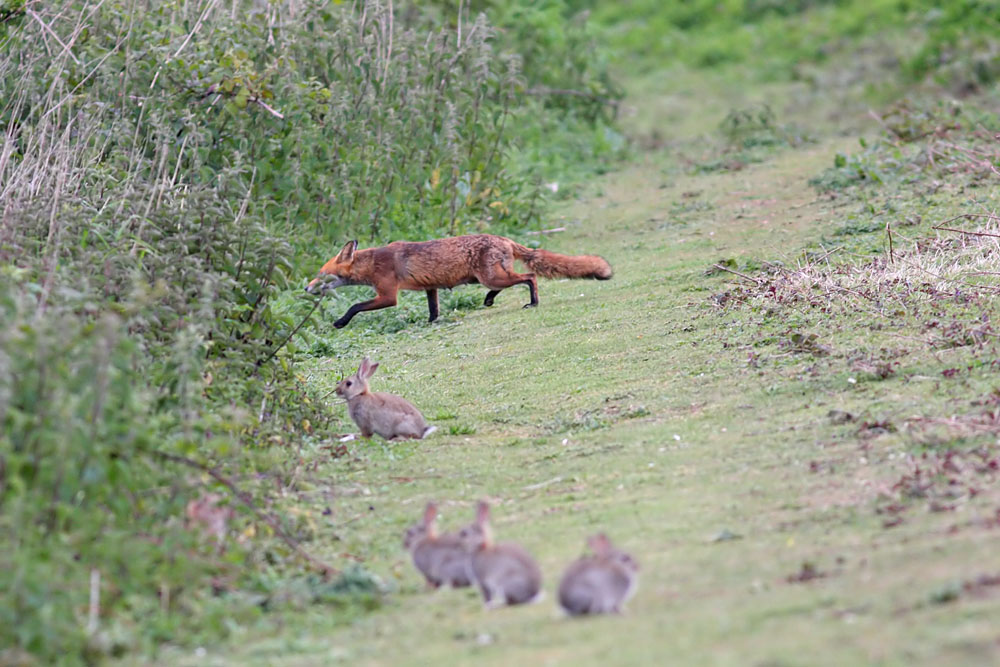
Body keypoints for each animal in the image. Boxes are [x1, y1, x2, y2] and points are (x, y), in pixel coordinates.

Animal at [305, 234, 612, 328]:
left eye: (321, 275)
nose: (306, 287)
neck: (372, 262)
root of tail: (503, 237)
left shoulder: (387, 295)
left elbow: (355, 305)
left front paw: (341, 322)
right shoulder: (430, 288)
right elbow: (433, 310)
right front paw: (431, 323)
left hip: (491, 276)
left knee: (531, 276)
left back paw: (533, 302)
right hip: (489, 277)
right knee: (509, 284)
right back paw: (488, 300)